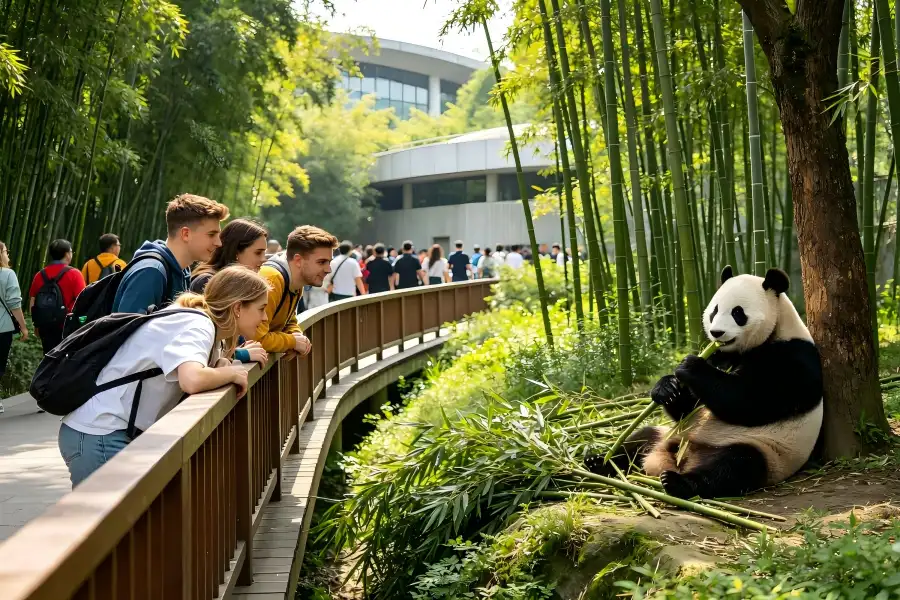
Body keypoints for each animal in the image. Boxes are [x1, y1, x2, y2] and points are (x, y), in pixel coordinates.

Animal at [587, 265, 823, 500]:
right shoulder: (719, 355)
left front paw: (690, 365)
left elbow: (750, 401)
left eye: (738, 313)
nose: (716, 332)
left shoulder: (792, 359)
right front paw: (667, 388)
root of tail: (680, 459)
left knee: (735, 466)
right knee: (640, 439)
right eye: (715, 311)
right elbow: (687, 408)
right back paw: (598, 462)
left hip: (766, 450)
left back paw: (678, 482)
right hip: (667, 434)